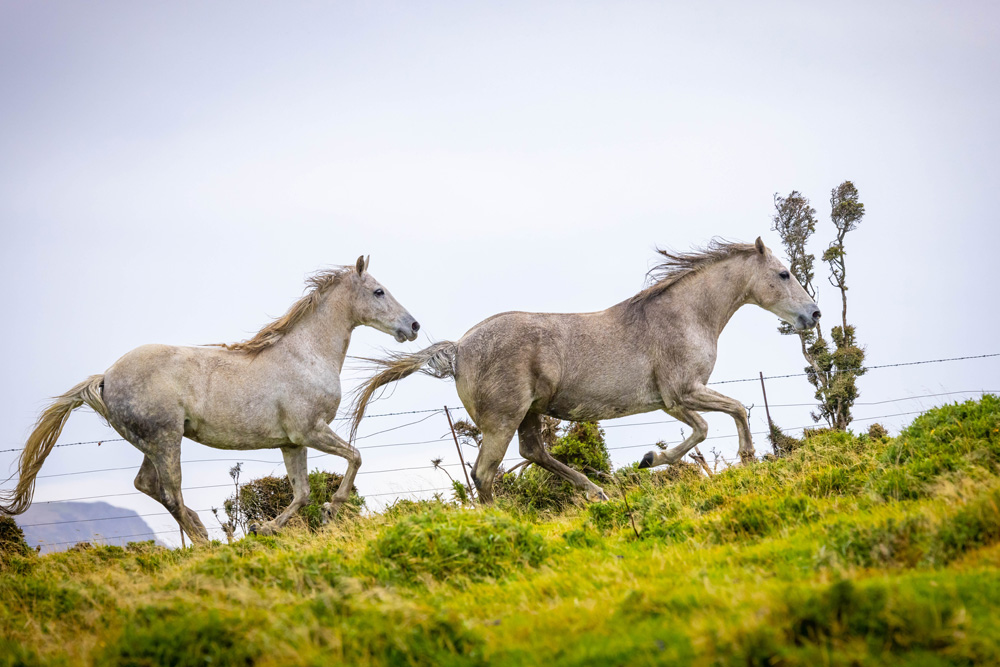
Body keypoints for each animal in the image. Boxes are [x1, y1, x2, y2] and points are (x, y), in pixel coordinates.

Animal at [1, 256, 420, 544]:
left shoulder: (292, 442)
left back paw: (202, 530)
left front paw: (265, 528)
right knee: (169, 490)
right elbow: (355, 457)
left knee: (147, 484)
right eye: (378, 291)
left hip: (152, 442)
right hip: (166, 438)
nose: (413, 325)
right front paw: (333, 507)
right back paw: (204, 542)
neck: (306, 354)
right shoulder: (311, 431)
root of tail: (105, 377)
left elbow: (301, 493)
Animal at [350, 238, 819, 502]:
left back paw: (596, 493)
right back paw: (506, 522)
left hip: (530, 413)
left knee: (532, 453)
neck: (686, 315)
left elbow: (729, 414)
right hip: (503, 419)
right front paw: (654, 459)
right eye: (784, 273)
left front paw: (746, 459)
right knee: (485, 474)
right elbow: (720, 418)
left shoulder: (678, 399)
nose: (813, 314)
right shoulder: (680, 394)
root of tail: (460, 349)